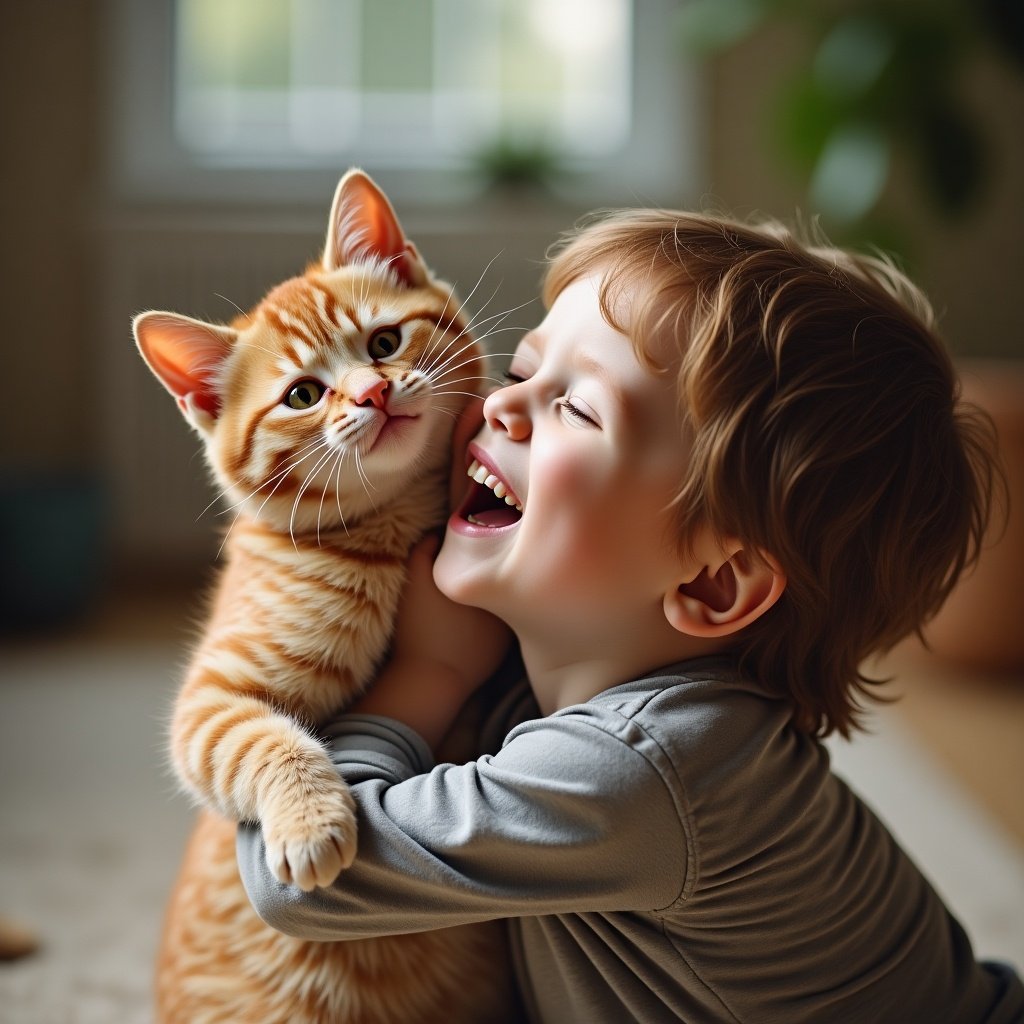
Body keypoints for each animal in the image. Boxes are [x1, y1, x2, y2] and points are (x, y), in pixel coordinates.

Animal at [137, 172, 516, 1019]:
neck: (393, 529)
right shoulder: (210, 702)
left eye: (383, 344)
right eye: (304, 394)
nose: (373, 393)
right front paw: (313, 818)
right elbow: (264, 739)